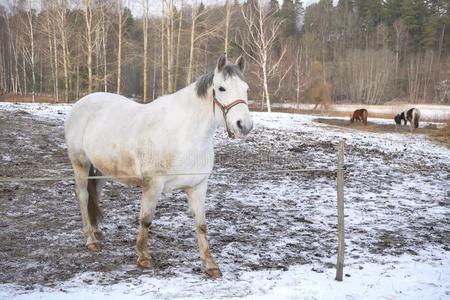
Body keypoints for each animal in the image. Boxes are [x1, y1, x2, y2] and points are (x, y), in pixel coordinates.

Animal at [65, 55, 253, 278]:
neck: (185, 135)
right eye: (222, 88)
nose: (244, 125)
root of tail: (82, 103)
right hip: (81, 164)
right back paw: (90, 240)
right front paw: (143, 257)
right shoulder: (152, 185)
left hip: (101, 171)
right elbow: (146, 219)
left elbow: (201, 225)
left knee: (94, 196)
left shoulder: (198, 186)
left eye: (246, 88)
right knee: (83, 196)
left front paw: (211, 265)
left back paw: (96, 231)